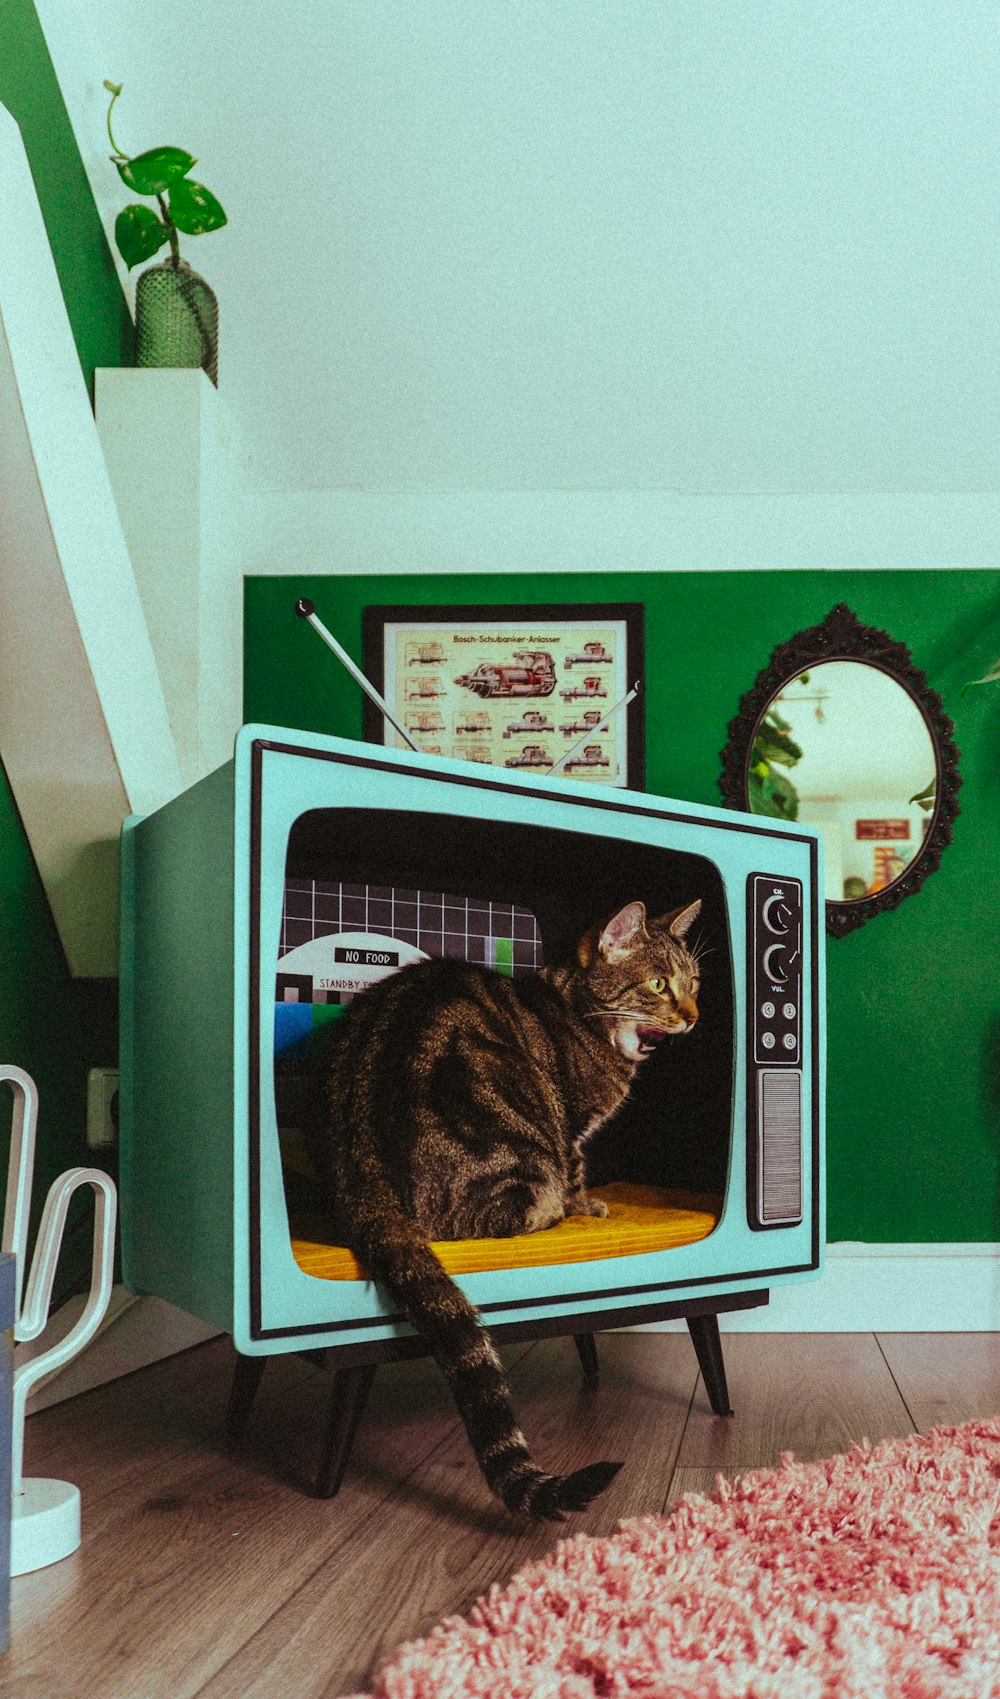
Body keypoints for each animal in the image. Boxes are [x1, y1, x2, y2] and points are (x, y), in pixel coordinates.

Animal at [314, 897, 702, 1522]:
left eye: (694, 983)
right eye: (658, 984)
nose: (693, 1016)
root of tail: (360, 1169)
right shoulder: (569, 1131)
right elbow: (576, 1167)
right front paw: (585, 1203)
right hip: (513, 1141)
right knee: (491, 1217)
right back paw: (556, 1210)